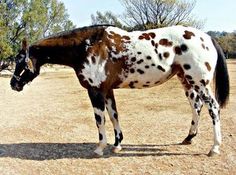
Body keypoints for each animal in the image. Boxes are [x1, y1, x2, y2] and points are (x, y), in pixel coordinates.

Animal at [9, 24, 229, 156]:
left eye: (22, 62)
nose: (13, 84)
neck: (87, 45)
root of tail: (208, 37)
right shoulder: (107, 91)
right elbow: (114, 115)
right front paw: (117, 144)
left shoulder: (95, 91)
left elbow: (100, 119)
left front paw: (100, 147)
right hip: (188, 82)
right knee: (196, 107)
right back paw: (189, 138)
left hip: (200, 82)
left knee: (213, 108)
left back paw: (214, 148)